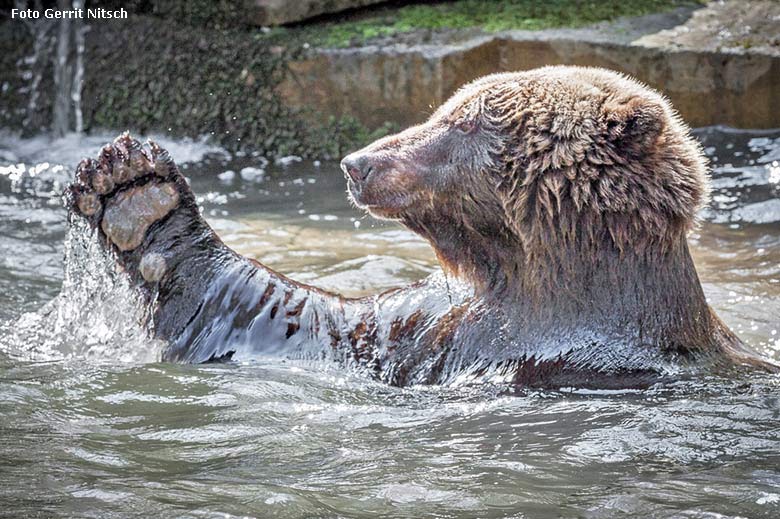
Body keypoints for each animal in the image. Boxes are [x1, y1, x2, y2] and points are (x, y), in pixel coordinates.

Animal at [65, 67, 772, 388]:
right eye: (446, 107)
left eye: (466, 119)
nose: (357, 162)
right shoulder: (422, 326)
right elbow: (320, 325)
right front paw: (128, 184)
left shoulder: (518, 347)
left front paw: (136, 196)